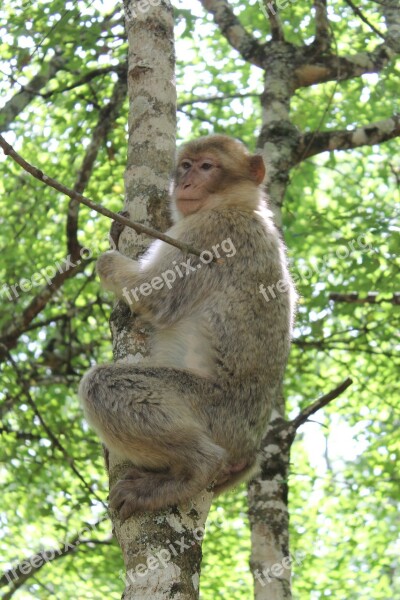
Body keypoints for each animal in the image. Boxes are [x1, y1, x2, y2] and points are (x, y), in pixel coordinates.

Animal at [79, 135, 296, 520]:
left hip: (213, 410)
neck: (242, 206)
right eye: (185, 166)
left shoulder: (208, 231)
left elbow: (153, 294)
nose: (185, 183)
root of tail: (248, 448)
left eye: (207, 166)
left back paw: (194, 471)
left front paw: (108, 257)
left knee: (103, 385)